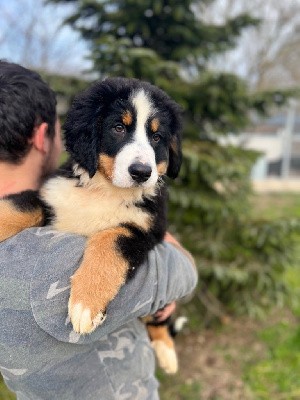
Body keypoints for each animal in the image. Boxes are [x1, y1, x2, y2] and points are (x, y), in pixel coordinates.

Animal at [0, 79, 183, 376]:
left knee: (159, 319)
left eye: (157, 137)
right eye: (118, 128)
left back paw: (167, 353)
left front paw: (87, 302)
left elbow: (110, 240)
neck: (104, 191)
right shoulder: (50, 199)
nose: (142, 172)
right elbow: (20, 205)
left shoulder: (144, 230)